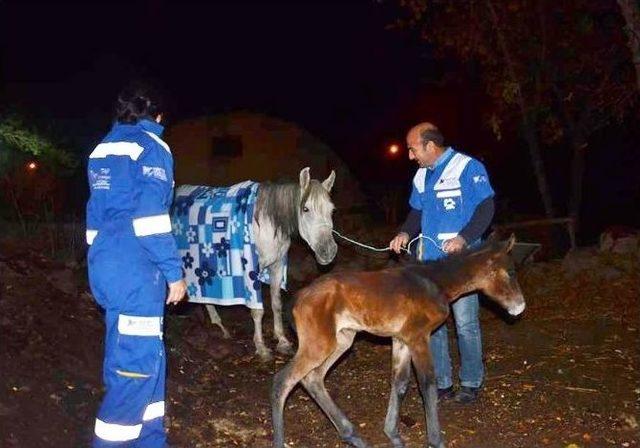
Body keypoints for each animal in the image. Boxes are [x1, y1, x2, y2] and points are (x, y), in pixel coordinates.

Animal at [181, 168, 338, 360]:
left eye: (332, 210)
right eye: (305, 209)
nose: (328, 251)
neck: (266, 225)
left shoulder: (276, 266)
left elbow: (276, 304)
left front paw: (282, 341)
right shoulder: (251, 272)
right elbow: (257, 311)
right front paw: (261, 347)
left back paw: (220, 327)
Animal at [270, 234, 524, 448]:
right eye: (511, 272)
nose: (520, 307)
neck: (435, 283)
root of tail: (298, 298)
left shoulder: (402, 340)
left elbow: (400, 383)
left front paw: (393, 435)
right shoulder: (419, 338)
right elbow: (427, 384)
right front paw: (436, 440)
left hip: (341, 340)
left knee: (313, 378)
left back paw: (352, 435)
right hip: (319, 344)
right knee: (283, 381)